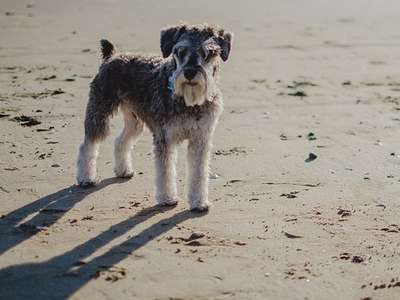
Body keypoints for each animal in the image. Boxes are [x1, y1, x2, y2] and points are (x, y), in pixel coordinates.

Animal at [76, 24, 233, 211]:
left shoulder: (200, 139)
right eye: (180, 51)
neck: (188, 101)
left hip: (135, 121)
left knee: (121, 141)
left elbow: (199, 173)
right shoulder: (165, 138)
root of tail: (111, 56)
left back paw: (123, 170)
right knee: (88, 144)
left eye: (208, 53)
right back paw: (86, 178)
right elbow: (165, 171)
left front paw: (199, 202)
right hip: (99, 112)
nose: (189, 73)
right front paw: (167, 198)